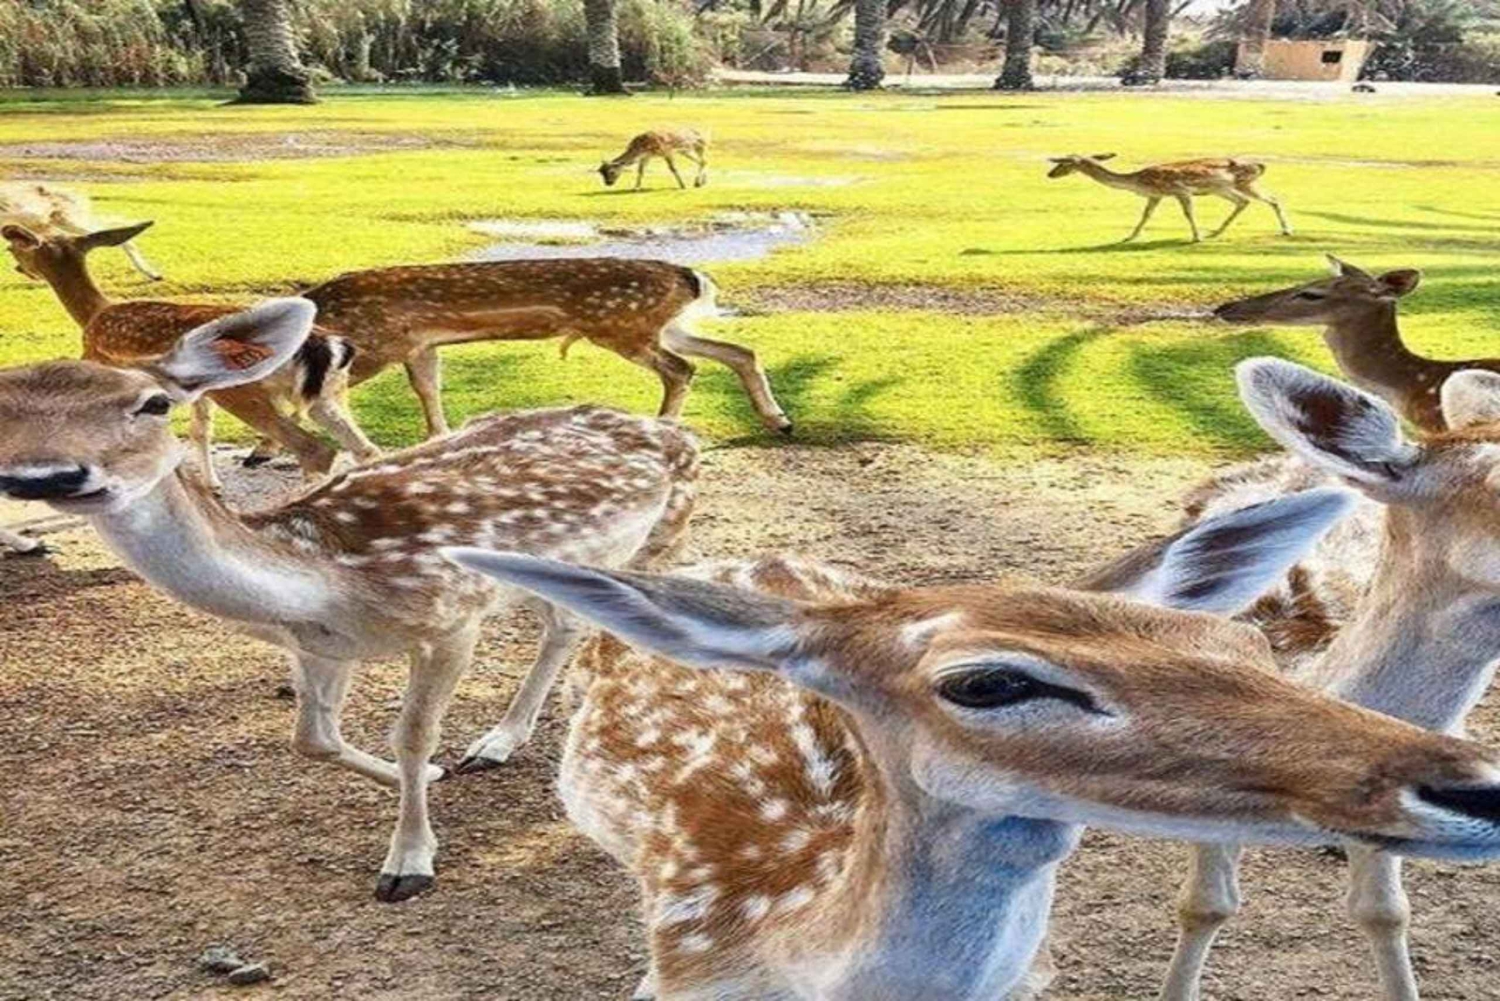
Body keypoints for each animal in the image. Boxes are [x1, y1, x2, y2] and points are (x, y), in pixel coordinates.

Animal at [0, 297, 700, 902]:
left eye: (154, 403)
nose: (46, 477)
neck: (323, 582)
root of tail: (675, 432)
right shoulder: (318, 646)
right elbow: (312, 738)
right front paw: (434, 778)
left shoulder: (451, 619)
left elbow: (412, 735)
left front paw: (408, 862)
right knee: (561, 628)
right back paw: (497, 743)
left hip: (660, 534)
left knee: (602, 629)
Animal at [3, 221, 380, 492]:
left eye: (29, 247)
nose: (13, 255)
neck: (93, 315)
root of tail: (326, 345)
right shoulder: (199, 395)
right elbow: (200, 432)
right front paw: (212, 485)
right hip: (328, 394)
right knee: (366, 451)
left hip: (246, 392)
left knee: (313, 449)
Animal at [1046, 154, 1293, 244]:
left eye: (1064, 164)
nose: (1049, 174)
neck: (1138, 181)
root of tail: (1260, 165)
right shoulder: (1155, 196)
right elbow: (1145, 216)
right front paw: (1130, 237)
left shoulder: (1180, 190)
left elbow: (1188, 213)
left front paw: (1196, 237)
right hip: (1222, 188)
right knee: (1244, 202)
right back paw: (1215, 232)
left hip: (1244, 183)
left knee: (1272, 198)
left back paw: (1287, 230)